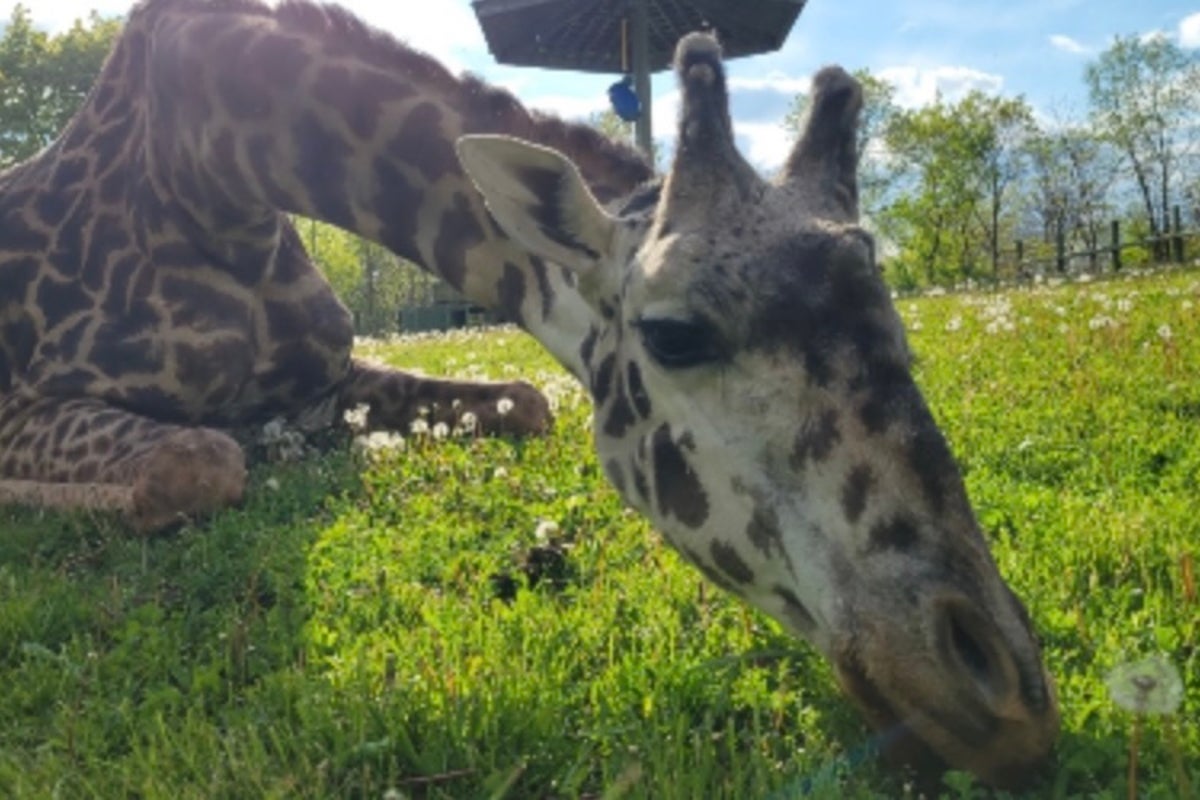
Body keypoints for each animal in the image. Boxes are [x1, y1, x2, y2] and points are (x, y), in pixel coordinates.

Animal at [0, 0, 1059, 787]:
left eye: (894, 317)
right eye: (674, 334)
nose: (1006, 695)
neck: (209, 170)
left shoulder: (333, 378)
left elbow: (525, 399)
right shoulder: (24, 404)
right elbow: (196, 460)